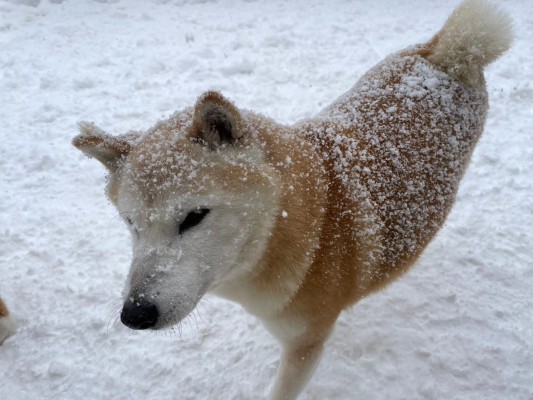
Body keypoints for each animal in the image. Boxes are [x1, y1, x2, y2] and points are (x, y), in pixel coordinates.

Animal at [71, 1, 512, 398]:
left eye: (194, 216)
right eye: (130, 223)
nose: (134, 315)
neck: (305, 223)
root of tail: (444, 54)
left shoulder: (306, 344)